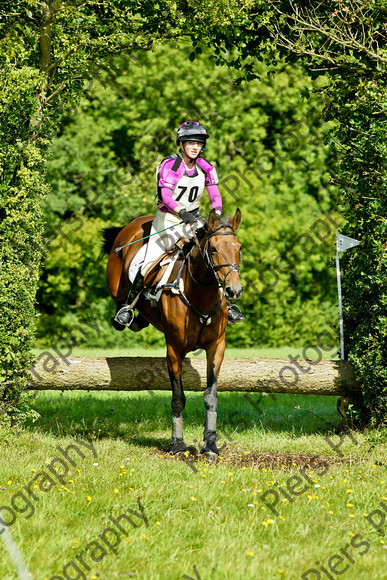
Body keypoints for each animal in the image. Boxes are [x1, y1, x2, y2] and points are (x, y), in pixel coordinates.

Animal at [102, 208, 242, 458]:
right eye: (214, 249)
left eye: (239, 248)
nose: (233, 291)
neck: (200, 295)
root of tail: (137, 221)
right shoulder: (174, 349)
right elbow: (178, 398)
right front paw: (178, 444)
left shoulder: (216, 347)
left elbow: (211, 396)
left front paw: (210, 445)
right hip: (116, 283)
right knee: (125, 296)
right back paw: (125, 314)